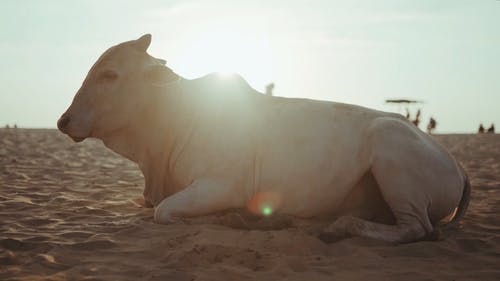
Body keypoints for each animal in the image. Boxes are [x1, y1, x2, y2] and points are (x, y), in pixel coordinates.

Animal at [57, 34, 468, 242]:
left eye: (110, 75)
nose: (63, 121)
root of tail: (458, 166)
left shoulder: (222, 185)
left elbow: (164, 212)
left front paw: (229, 217)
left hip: (389, 143)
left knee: (417, 229)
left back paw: (341, 227)